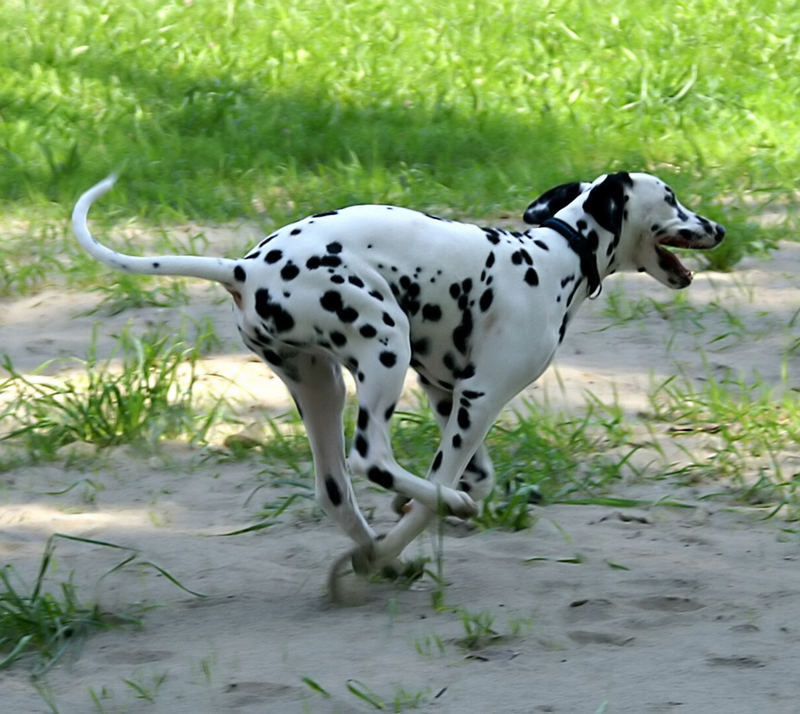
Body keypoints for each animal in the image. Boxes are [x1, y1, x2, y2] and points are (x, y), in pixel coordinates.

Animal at [75, 171, 724, 584]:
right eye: (671, 198)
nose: (717, 228)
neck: (553, 258)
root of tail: (244, 266)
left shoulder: (446, 394)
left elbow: (480, 477)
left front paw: (401, 533)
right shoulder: (479, 399)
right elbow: (437, 493)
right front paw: (427, 516)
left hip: (321, 386)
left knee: (335, 490)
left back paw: (378, 551)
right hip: (384, 344)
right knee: (373, 458)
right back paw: (410, 532)